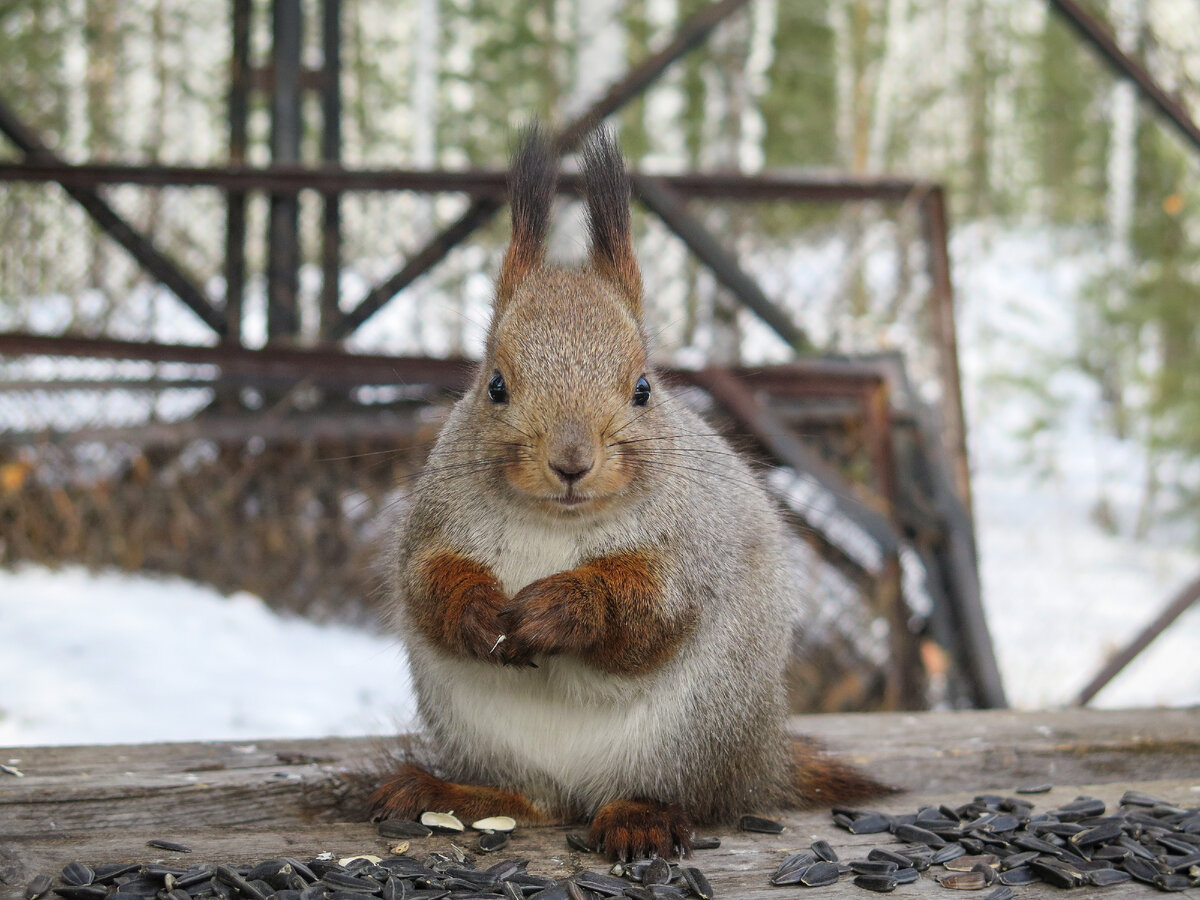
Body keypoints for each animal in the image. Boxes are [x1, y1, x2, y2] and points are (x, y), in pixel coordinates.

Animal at [369, 123, 897, 864]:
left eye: (644, 388)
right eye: (494, 385)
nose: (571, 463)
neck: (558, 523)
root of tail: (762, 760)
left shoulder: (691, 547)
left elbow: (651, 613)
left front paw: (567, 605)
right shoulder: (434, 524)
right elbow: (426, 584)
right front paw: (474, 608)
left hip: (693, 735)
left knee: (683, 799)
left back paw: (639, 820)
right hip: (489, 740)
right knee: (529, 802)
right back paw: (447, 795)